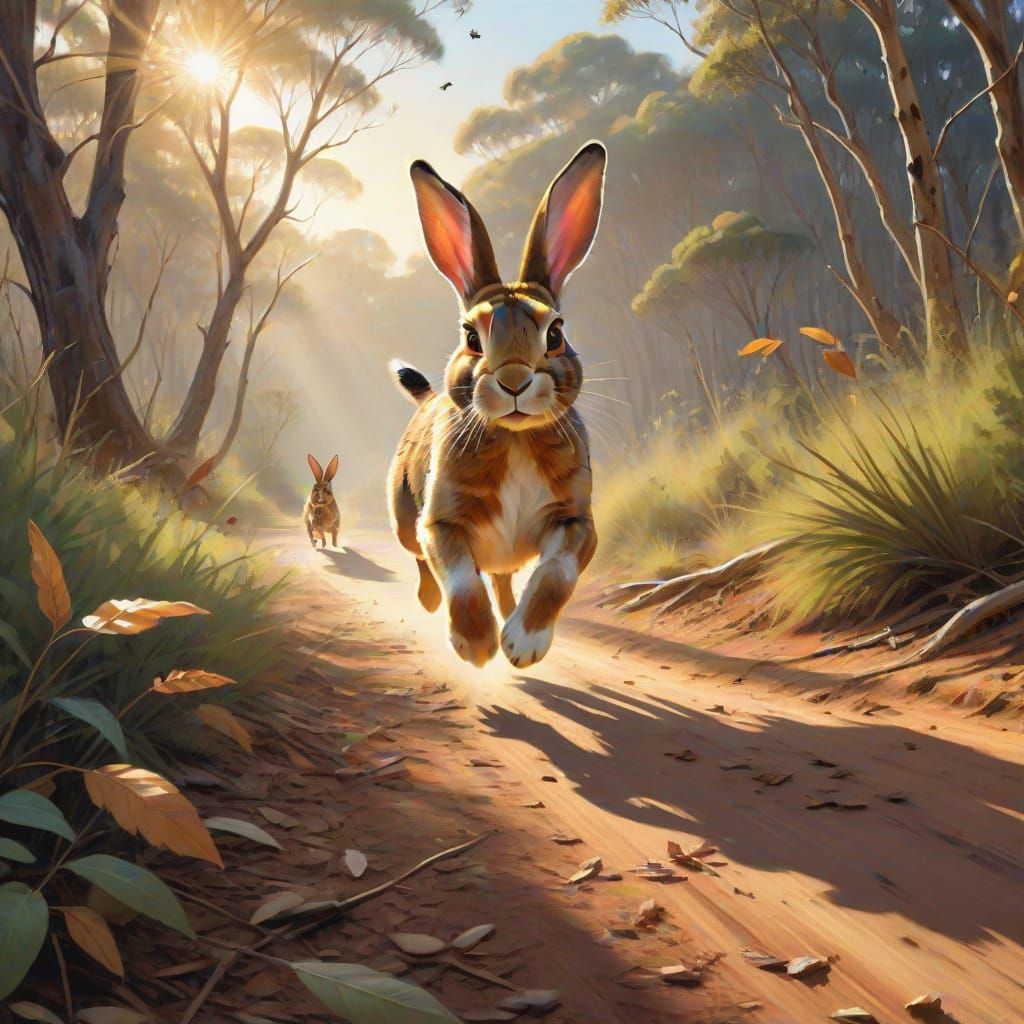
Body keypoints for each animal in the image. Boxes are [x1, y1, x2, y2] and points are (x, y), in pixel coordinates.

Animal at [387, 140, 606, 668]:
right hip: (404, 516)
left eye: (555, 334)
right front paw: (477, 645)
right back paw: (431, 602)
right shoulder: (442, 522)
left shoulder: (575, 522)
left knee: (506, 576)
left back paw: (508, 615)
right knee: (419, 557)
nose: (514, 381)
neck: (516, 439)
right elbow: (460, 579)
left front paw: (522, 643)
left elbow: (556, 575)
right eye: (471, 336)